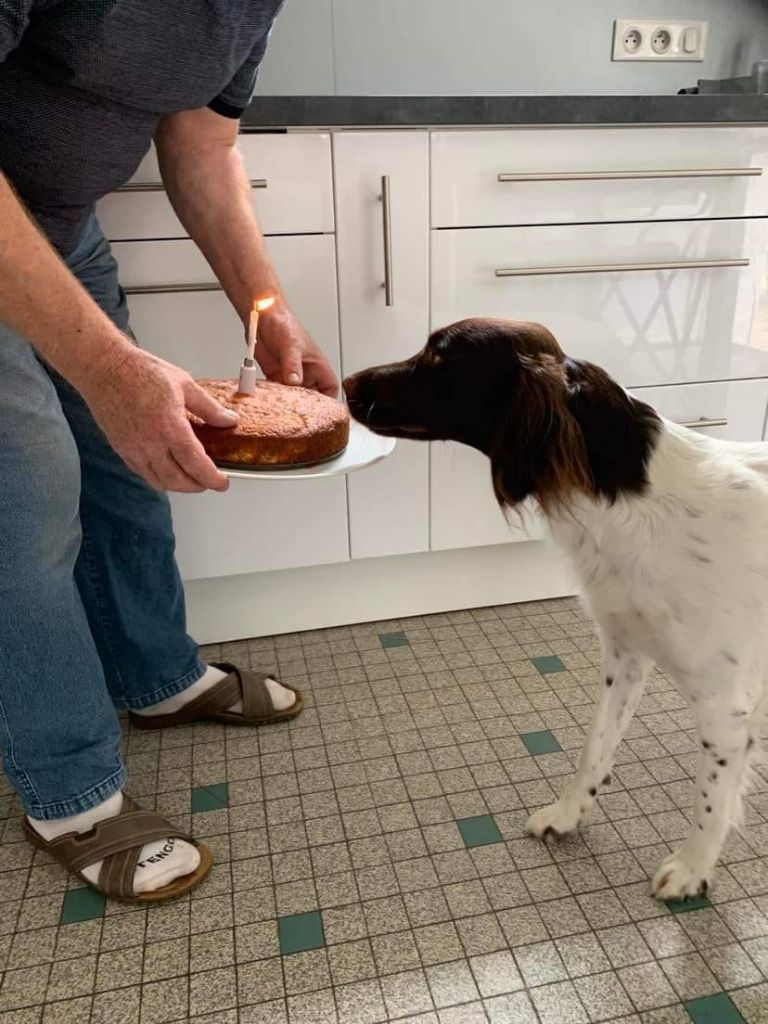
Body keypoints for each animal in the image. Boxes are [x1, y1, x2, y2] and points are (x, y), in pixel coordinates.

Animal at [348, 317, 768, 897]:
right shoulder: (626, 654)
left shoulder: (724, 706)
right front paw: (569, 814)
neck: (639, 502)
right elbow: (596, 746)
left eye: (439, 356)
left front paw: (692, 868)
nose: (345, 383)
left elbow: (711, 800)